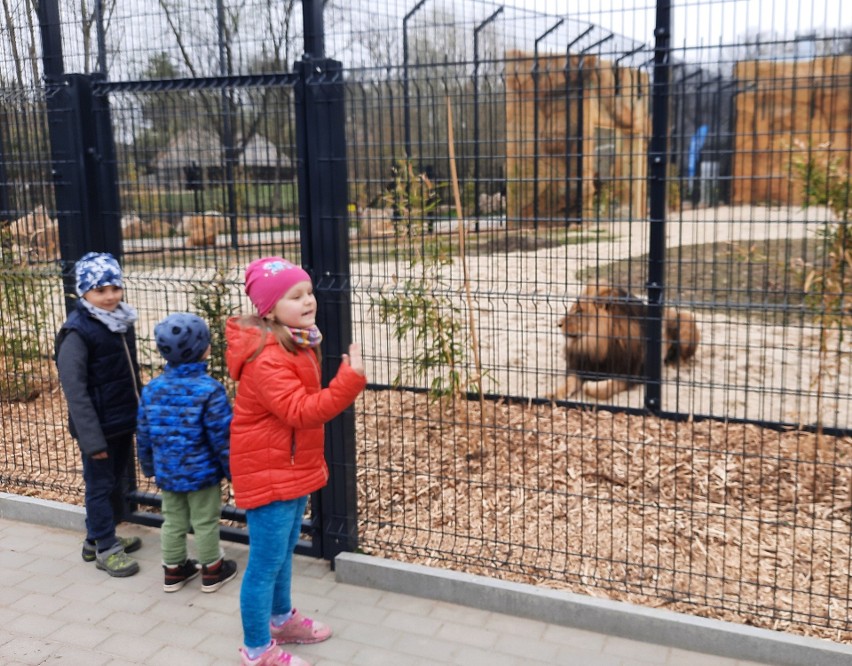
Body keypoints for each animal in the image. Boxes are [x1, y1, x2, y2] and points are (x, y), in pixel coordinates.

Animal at [548, 282, 704, 396]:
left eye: (579, 312)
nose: (558, 324)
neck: (598, 345)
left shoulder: (631, 375)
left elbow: (599, 388)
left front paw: (589, 385)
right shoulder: (581, 366)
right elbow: (568, 382)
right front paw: (552, 394)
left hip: (686, 318)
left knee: (683, 358)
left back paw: (673, 364)